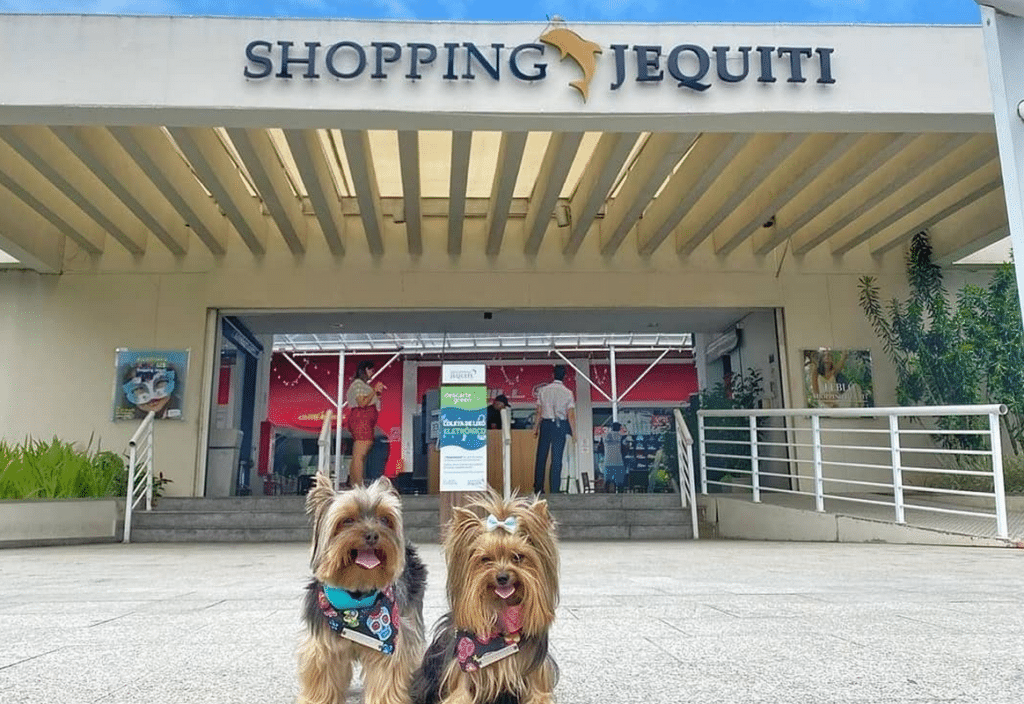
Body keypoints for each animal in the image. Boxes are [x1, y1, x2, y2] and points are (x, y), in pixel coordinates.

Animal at [299, 472, 425, 704]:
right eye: (347, 520)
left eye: (385, 520)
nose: (373, 535)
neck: (356, 597)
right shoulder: (323, 645)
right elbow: (323, 674)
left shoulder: (388, 644)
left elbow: (387, 675)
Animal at [409, 489, 561, 704]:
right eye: (486, 559)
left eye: (518, 557)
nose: (502, 577)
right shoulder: (461, 667)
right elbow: (460, 694)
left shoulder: (536, 671)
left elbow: (538, 694)